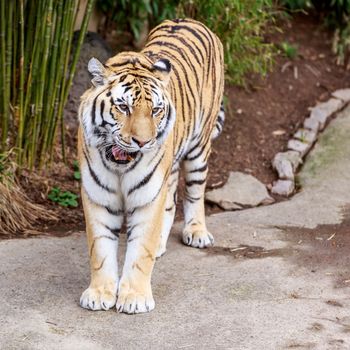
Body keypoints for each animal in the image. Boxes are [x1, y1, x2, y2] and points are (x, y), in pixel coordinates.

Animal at [77, 17, 224, 314]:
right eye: (123, 107)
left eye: (156, 110)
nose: (144, 142)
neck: (119, 167)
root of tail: (191, 20)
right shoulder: (98, 197)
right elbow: (100, 249)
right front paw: (99, 293)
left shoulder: (147, 197)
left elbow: (139, 252)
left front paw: (134, 297)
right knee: (170, 201)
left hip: (199, 148)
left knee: (194, 193)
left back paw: (197, 232)